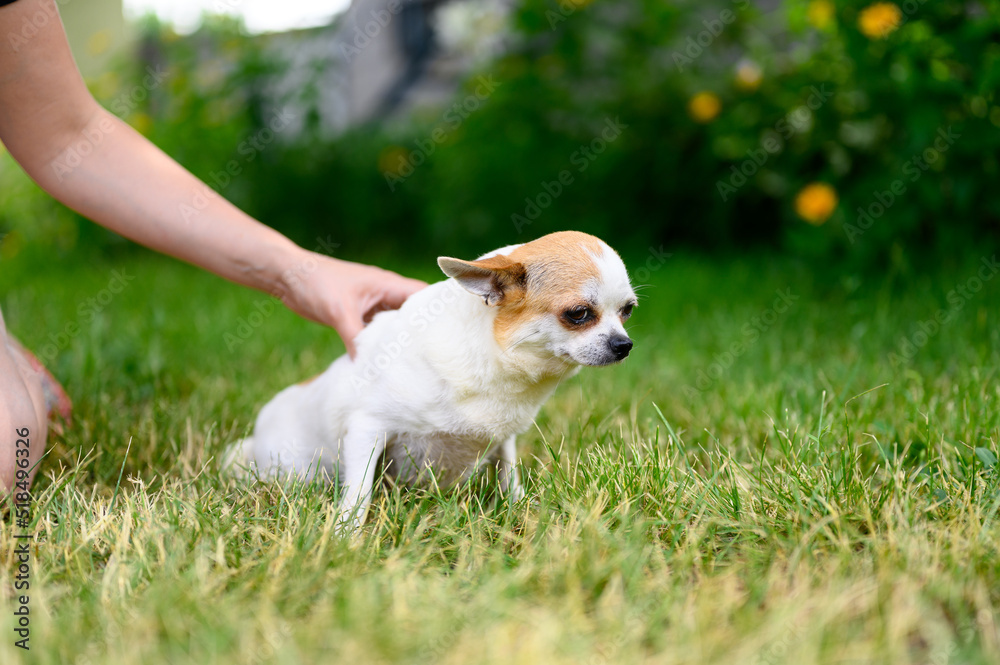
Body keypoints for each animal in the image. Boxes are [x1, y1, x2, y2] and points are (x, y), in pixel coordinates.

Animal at [224, 231, 636, 528]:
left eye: (627, 311)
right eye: (578, 314)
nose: (624, 345)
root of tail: (256, 440)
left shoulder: (503, 440)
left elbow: (509, 475)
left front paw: (521, 509)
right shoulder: (367, 430)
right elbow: (358, 492)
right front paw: (345, 536)